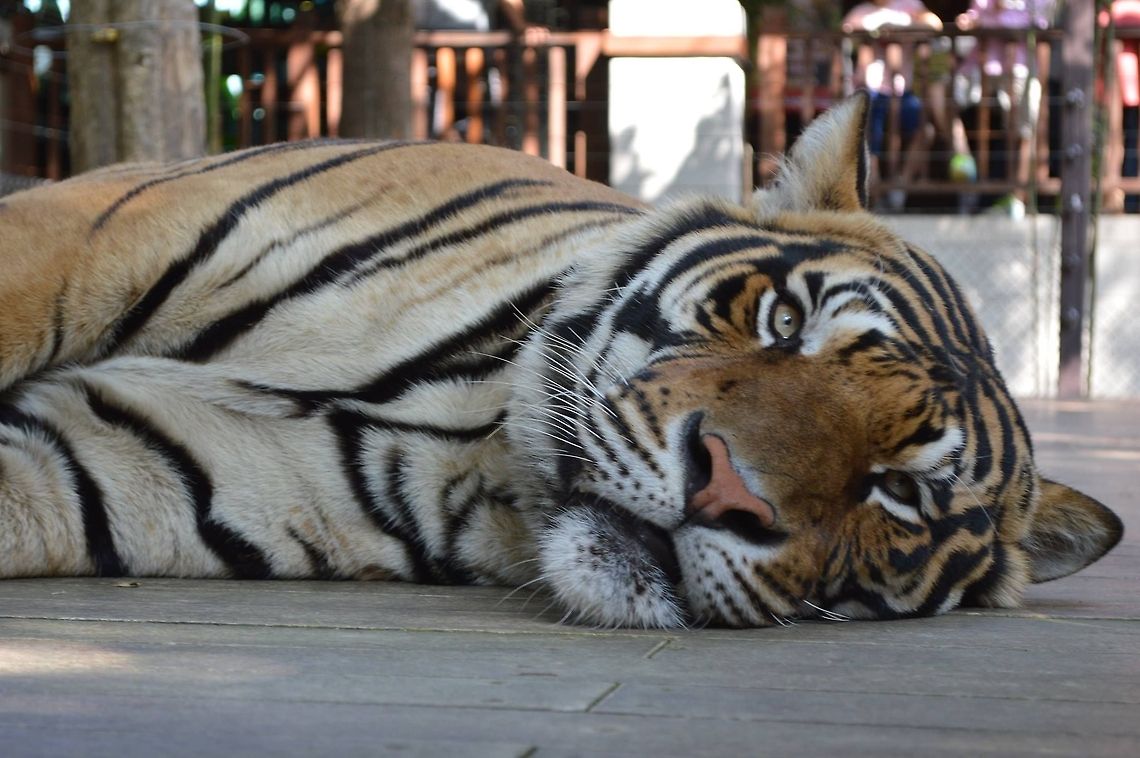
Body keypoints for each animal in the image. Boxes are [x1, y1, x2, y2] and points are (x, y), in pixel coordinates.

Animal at [0, 93, 1122, 628]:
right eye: (786, 321)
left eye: (900, 492)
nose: (725, 491)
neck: (476, 446)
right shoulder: (96, 228)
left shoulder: (116, 463)